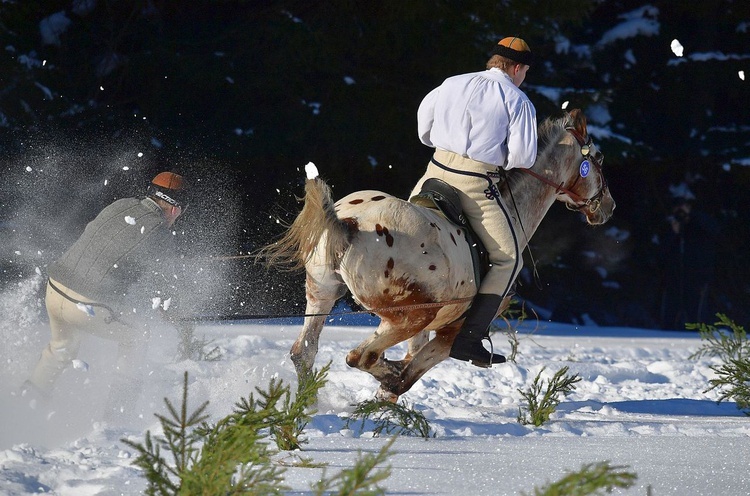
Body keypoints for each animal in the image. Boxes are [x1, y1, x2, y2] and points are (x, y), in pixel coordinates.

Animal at [262, 109, 616, 404]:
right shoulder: (451, 332)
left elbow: (404, 372)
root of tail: (352, 222)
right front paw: (392, 383)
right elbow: (407, 376)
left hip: (324, 293)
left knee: (305, 352)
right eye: (598, 159)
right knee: (361, 357)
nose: (609, 207)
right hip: (410, 316)